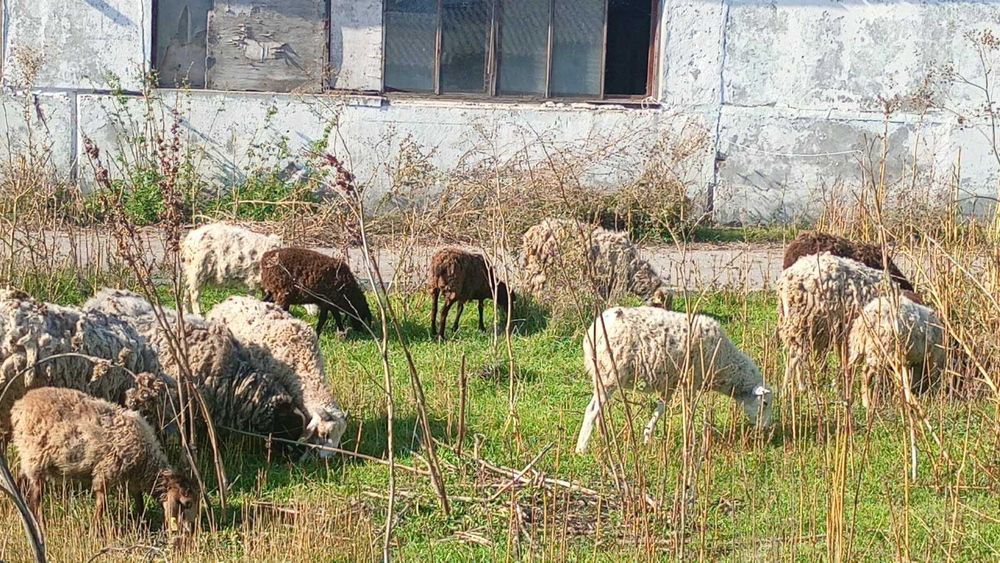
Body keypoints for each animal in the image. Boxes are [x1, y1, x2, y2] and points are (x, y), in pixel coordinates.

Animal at [11, 387, 199, 533]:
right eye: (187, 503)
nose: (189, 531)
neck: (145, 461)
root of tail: (19, 406)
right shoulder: (106, 471)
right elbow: (102, 503)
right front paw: (95, 530)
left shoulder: (131, 478)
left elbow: (138, 499)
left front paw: (141, 522)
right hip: (35, 457)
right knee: (36, 496)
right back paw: (40, 524)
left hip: (27, 456)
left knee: (20, 481)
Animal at [180, 223, 318, 316]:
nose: (315, 314)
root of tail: (189, 240)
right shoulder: (253, 279)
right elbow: (252, 295)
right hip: (199, 271)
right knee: (194, 295)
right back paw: (199, 314)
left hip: (190, 271)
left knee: (186, 293)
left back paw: (186, 312)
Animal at [575, 306, 773, 454]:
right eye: (764, 403)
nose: (765, 428)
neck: (723, 362)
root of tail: (591, 333)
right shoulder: (693, 380)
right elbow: (689, 409)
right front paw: (691, 441)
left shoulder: (671, 382)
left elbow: (662, 407)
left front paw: (647, 436)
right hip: (609, 373)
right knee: (592, 410)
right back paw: (581, 449)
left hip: (603, 375)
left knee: (600, 409)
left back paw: (603, 439)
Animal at [776, 252, 913, 393]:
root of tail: (787, 283)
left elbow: (844, 358)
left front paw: (840, 383)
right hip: (802, 322)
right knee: (795, 357)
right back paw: (797, 389)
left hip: (793, 324)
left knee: (792, 355)